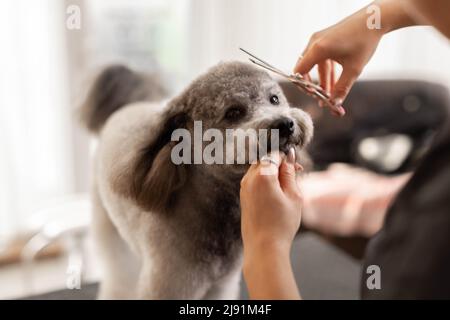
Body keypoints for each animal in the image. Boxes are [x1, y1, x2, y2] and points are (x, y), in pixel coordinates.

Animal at [81, 61, 312, 298]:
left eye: (274, 99)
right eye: (233, 112)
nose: (285, 124)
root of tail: (126, 106)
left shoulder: (222, 284)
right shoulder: (171, 283)